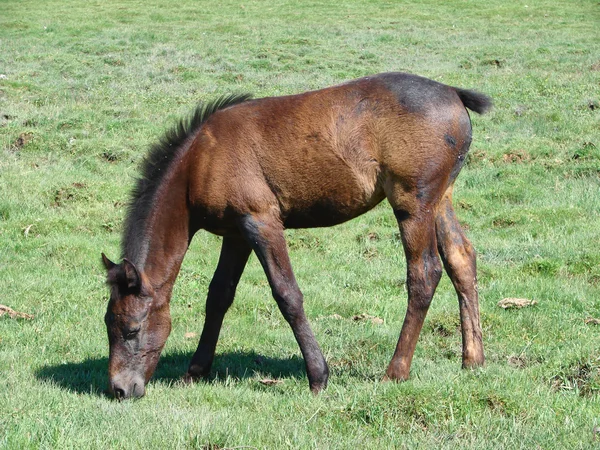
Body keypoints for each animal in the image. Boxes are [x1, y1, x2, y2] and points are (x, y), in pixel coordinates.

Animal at [101, 72, 490, 400]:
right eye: (107, 324)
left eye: (131, 329)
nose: (120, 389)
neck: (201, 161)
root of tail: (453, 93)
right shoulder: (236, 234)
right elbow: (219, 296)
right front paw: (195, 371)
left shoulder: (261, 222)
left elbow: (287, 295)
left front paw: (318, 376)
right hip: (440, 200)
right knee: (461, 259)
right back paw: (473, 360)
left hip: (413, 203)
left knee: (425, 273)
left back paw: (395, 371)